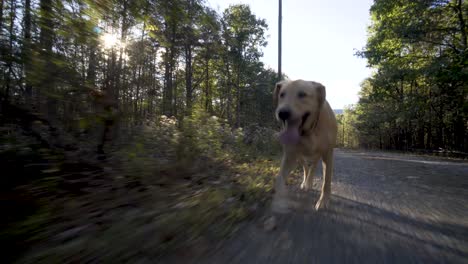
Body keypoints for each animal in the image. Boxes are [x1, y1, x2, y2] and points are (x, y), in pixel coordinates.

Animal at [270, 79, 336, 212]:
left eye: (302, 94)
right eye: (282, 94)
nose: (282, 113)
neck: (309, 131)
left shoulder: (328, 154)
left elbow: (326, 181)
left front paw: (323, 201)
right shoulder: (289, 155)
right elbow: (279, 179)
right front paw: (280, 199)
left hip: (317, 155)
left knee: (313, 167)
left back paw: (309, 182)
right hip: (300, 156)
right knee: (306, 167)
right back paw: (306, 182)